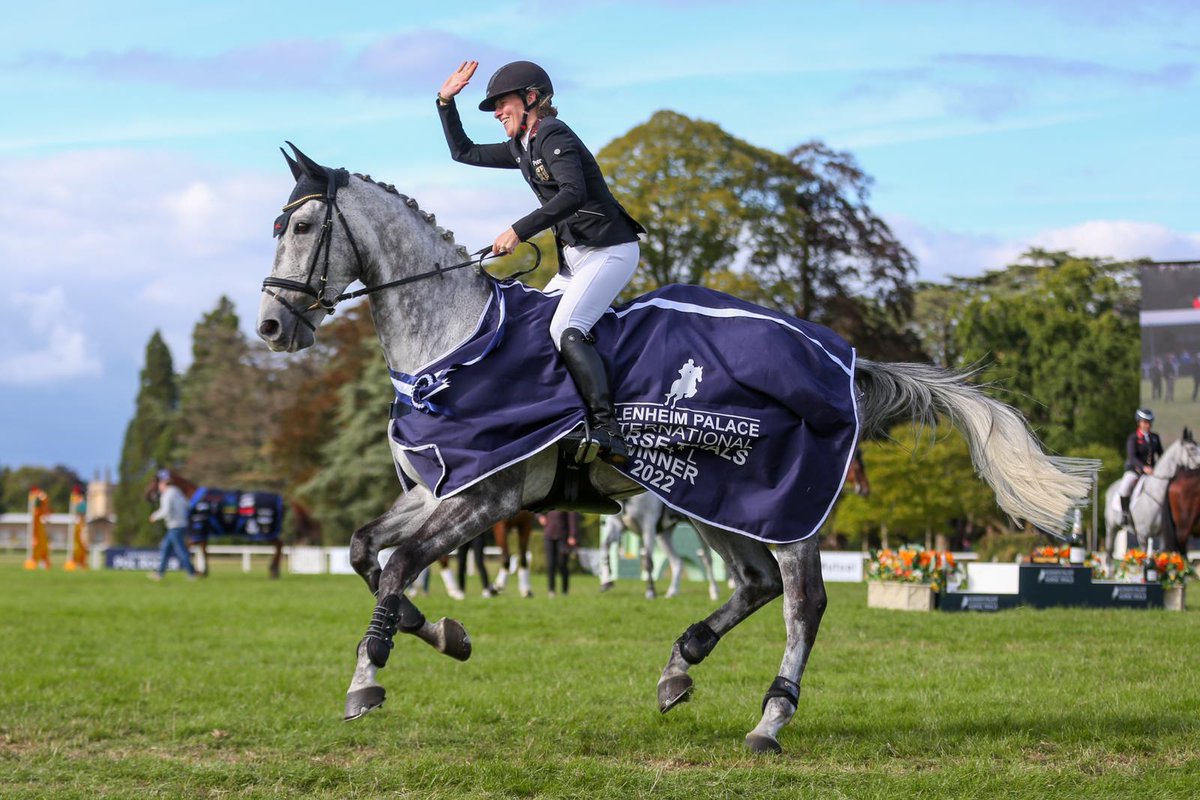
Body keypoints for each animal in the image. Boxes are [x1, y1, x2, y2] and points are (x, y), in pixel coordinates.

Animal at [256, 145, 1093, 753]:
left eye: (303, 229)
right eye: (278, 227)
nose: (270, 328)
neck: (455, 345)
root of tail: (842, 357)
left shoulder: (490, 495)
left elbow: (397, 564)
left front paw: (368, 682)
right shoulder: (438, 490)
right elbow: (365, 553)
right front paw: (442, 636)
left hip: (780, 501)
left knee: (803, 602)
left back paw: (769, 721)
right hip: (717, 498)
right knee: (755, 584)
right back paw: (679, 669)